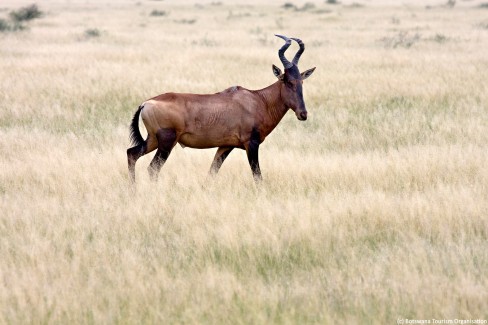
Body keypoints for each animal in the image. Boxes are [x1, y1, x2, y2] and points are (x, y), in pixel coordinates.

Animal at [127, 35, 314, 184]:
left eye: (301, 81)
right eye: (287, 81)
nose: (303, 114)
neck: (258, 99)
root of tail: (146, 103)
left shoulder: (225, 146)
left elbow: (212, 172)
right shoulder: (251, 144)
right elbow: (258, 176)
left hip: (153, 140)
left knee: (132, 154)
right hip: (166, 142)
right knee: (152, 169)